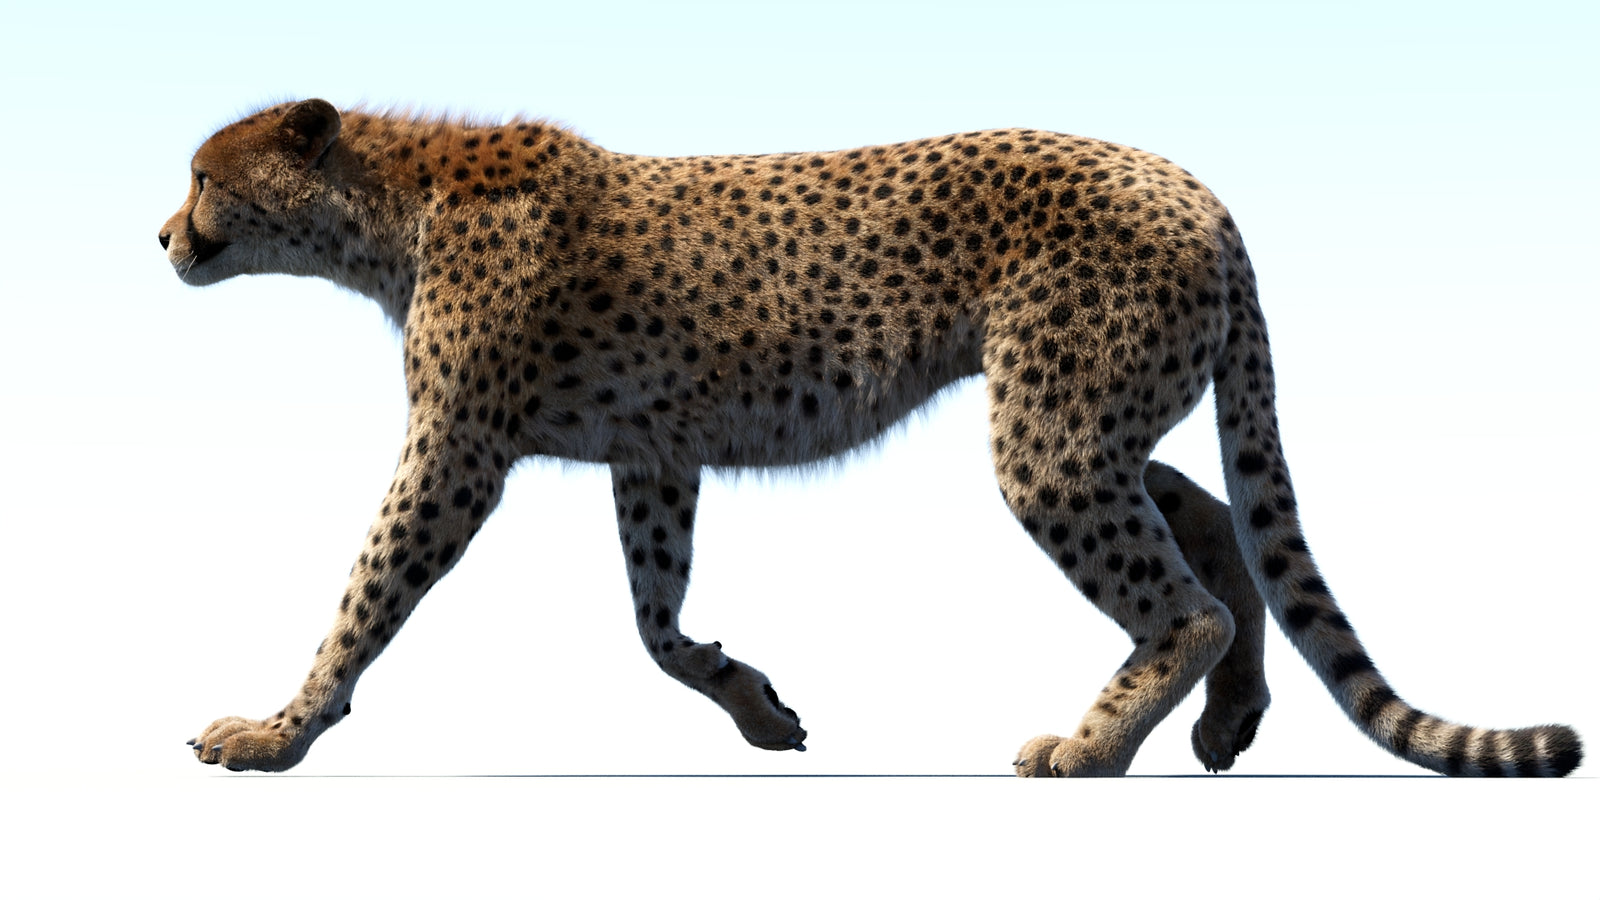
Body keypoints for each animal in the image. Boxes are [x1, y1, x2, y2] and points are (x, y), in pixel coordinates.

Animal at [161, 99, 1582, 776]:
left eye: (204, 176)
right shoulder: (653, 454)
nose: (165, 233)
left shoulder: (456, 453)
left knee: (1186, 597)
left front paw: (279, 730)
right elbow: (655, 621)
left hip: (1050, 428)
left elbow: (365, 593)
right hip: (1098, 410)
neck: (383, 208)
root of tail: (1195, 186)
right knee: (1216, 515)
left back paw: (1091, 749)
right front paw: (755, 704)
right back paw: (1227, 722)